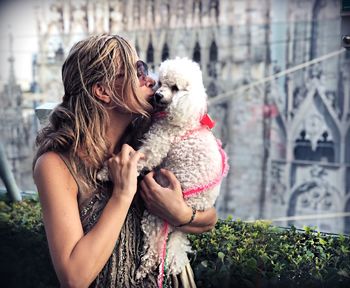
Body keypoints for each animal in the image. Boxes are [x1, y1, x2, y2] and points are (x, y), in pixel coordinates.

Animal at [135, 57, 230, 284]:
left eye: (176, 88)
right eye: (161, 83)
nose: (158, 95)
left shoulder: (157, 144)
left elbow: (142, 158)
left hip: (157, 214)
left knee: (154, 249)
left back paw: (143, 269)